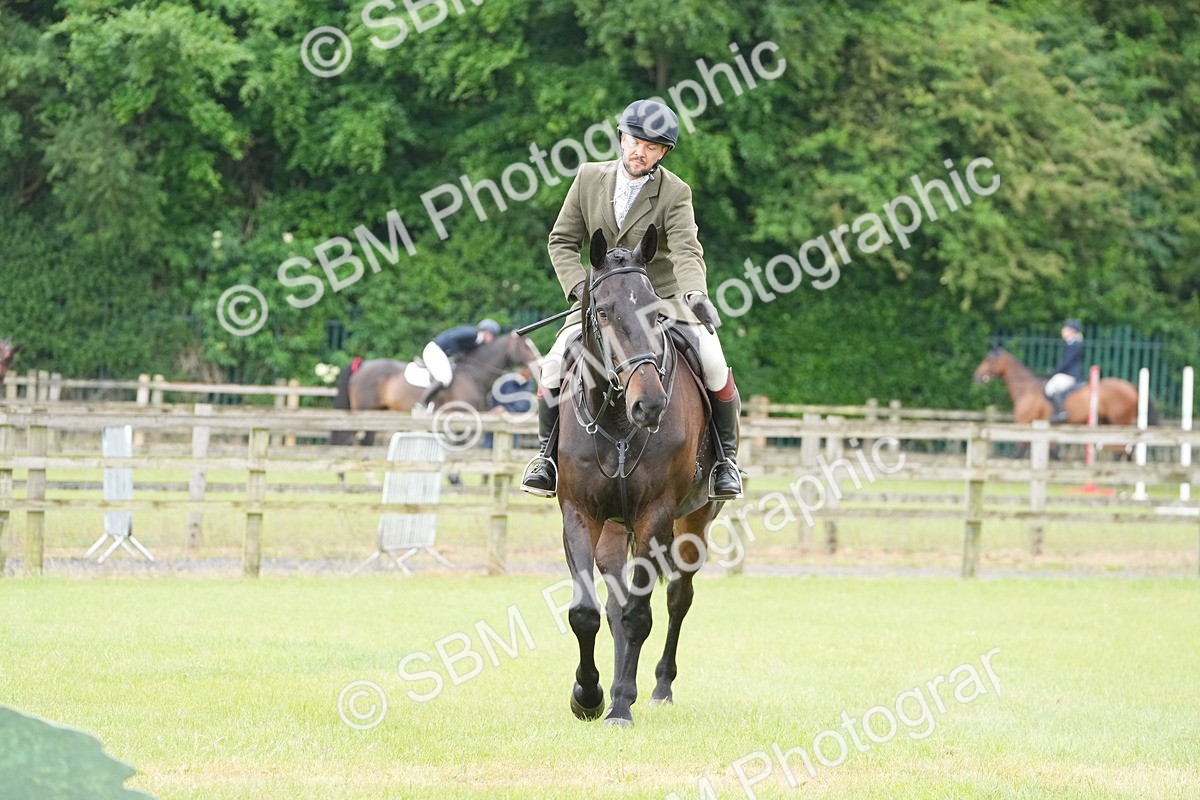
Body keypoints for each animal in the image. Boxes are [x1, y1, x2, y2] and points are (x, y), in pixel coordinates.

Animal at [331, 331, 540, 445]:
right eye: (525, 347)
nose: (539, 362)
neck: (474, 374)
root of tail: (362, 364)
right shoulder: (461, 417)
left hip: (377, 412)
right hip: (363, 411)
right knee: (349, 439)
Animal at [557, 225, 726, 728]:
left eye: (655, 310)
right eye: (603, 312)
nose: (648, 405)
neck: (616, 419)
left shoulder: (656, 514)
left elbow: (639, 615)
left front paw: (619, 705)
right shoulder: (578, 512)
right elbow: (587, 612)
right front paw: (587, 696)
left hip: (693, 522)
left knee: (677, 599)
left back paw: (659, 688)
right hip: (614, 526)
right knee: (614, 604)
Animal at [972, 347, 1159, 426]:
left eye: (990, 360)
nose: (976, 378)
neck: (1026, 388)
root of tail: (1130, 386)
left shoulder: (1024, 422)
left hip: (1119, 421)